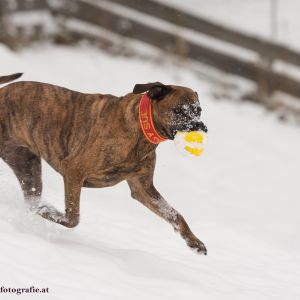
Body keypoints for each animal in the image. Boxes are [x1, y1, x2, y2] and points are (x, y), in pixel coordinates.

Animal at [0, 72, 207, 253]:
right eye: (179, 110)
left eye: (198, 110)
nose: (200, 126)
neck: (141, 129)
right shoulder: (74, 171)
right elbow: (73, 218)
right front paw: (47, 211)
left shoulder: (143, 188)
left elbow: (174, 214)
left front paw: (194, 241)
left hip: (28, 167)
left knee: (31, 199)